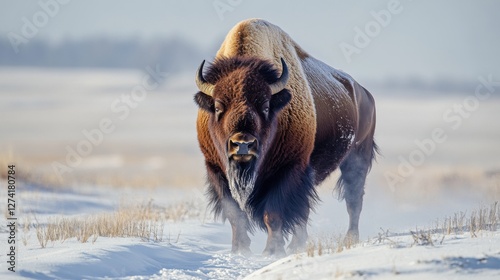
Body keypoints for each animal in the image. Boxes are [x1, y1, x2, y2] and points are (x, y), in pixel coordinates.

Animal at [193, 19, 376, 256]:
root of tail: (363, 93)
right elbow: (235, 214)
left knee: (353, 201)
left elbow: (273, 213)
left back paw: (349, 239)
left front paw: (272, 250)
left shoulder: (288, 168)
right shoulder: (215, 168)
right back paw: (298, 244)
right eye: (217, 107)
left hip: (357, 157)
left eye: (265, 105)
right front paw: (239, 249)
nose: (242, 144)